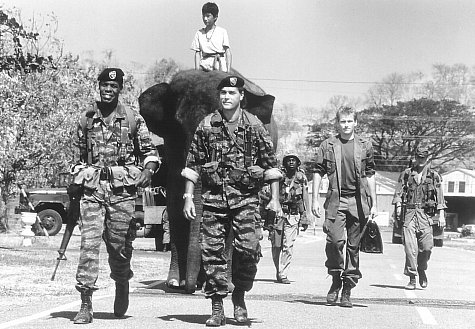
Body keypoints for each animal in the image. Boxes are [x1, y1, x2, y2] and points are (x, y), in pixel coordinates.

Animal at [138, 68, 278, 292]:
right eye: (178, 126)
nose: (190, 287)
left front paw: (225, 285)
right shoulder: (172, 148)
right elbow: (175, 203)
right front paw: (175, 283)